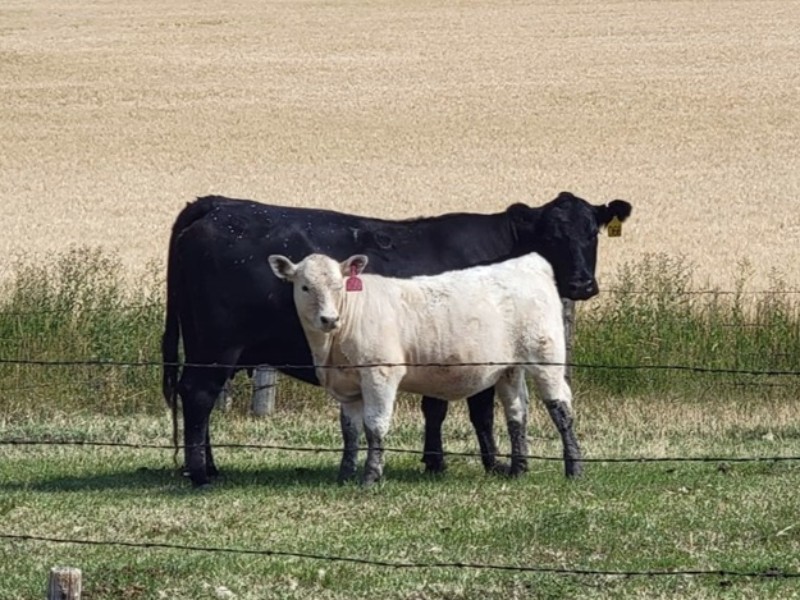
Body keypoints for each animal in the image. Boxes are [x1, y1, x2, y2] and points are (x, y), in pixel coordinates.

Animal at [268, 251, 580, 485]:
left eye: (339, 286)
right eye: (305, 287)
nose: (329, 319)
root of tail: (529, 262)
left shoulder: (380, 374)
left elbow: (375, 426)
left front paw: (371, 477)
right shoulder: (347, 387)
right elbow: (350, 431)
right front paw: (345, 475)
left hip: (547, 356)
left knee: (560, 407)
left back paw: (574, 468)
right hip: (509, 368)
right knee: (516, 412)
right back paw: (518, 469)